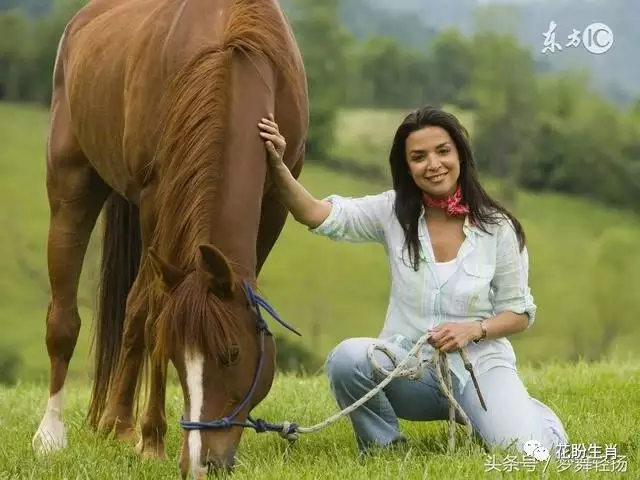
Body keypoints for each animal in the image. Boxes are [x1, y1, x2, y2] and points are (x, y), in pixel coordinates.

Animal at [31, 0, 308, 474]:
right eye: (178, 357)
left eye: (232, 354)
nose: (200, 463)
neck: (232, 50)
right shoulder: (155, 200)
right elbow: (155, 313)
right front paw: (153, 439)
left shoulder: (275, 204)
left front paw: (142, 434)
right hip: (72, 186)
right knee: (66, 319)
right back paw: (52, 435)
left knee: (131, 311)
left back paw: (117, 423)